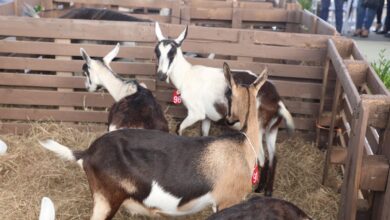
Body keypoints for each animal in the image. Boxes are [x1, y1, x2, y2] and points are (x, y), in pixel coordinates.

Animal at [154, 23, 294, 196]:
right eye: (157, 51)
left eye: (172, 53)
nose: (161, 75)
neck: (187, 76)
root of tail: (277, 100)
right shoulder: (207, 117)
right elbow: (204, 136)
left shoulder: (196, 113)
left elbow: (178, 128)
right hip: (271, 129)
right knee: (273, 157)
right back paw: (266, 191)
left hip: (257, 129)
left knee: (262, 158)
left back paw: (256, 188)